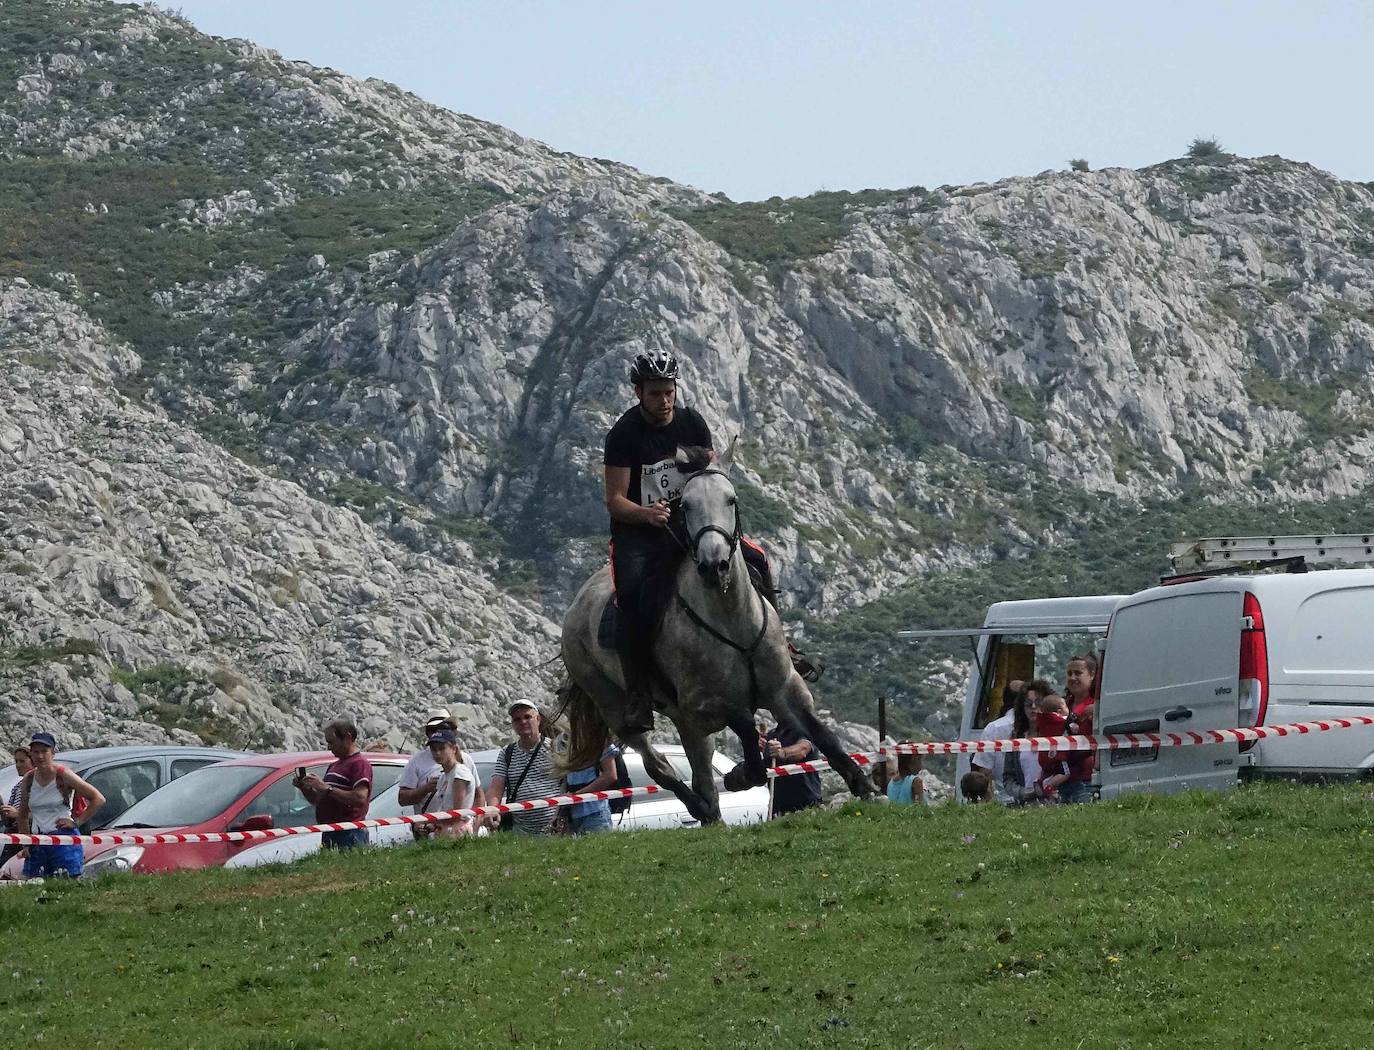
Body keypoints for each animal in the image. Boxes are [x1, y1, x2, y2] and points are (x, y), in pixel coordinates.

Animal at [560, 442, 873, 819]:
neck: (733, 621)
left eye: (731, 499)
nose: (714, 565)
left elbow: (822, 735)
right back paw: (700, 806)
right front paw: (742, 773)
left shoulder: (787, 687)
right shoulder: (705, 704)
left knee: (701, 773)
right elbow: (745, 726)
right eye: (686, 505)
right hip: (615, 704)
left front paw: (864, 786)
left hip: (681, 720)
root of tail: (577, 605)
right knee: (658, 765)